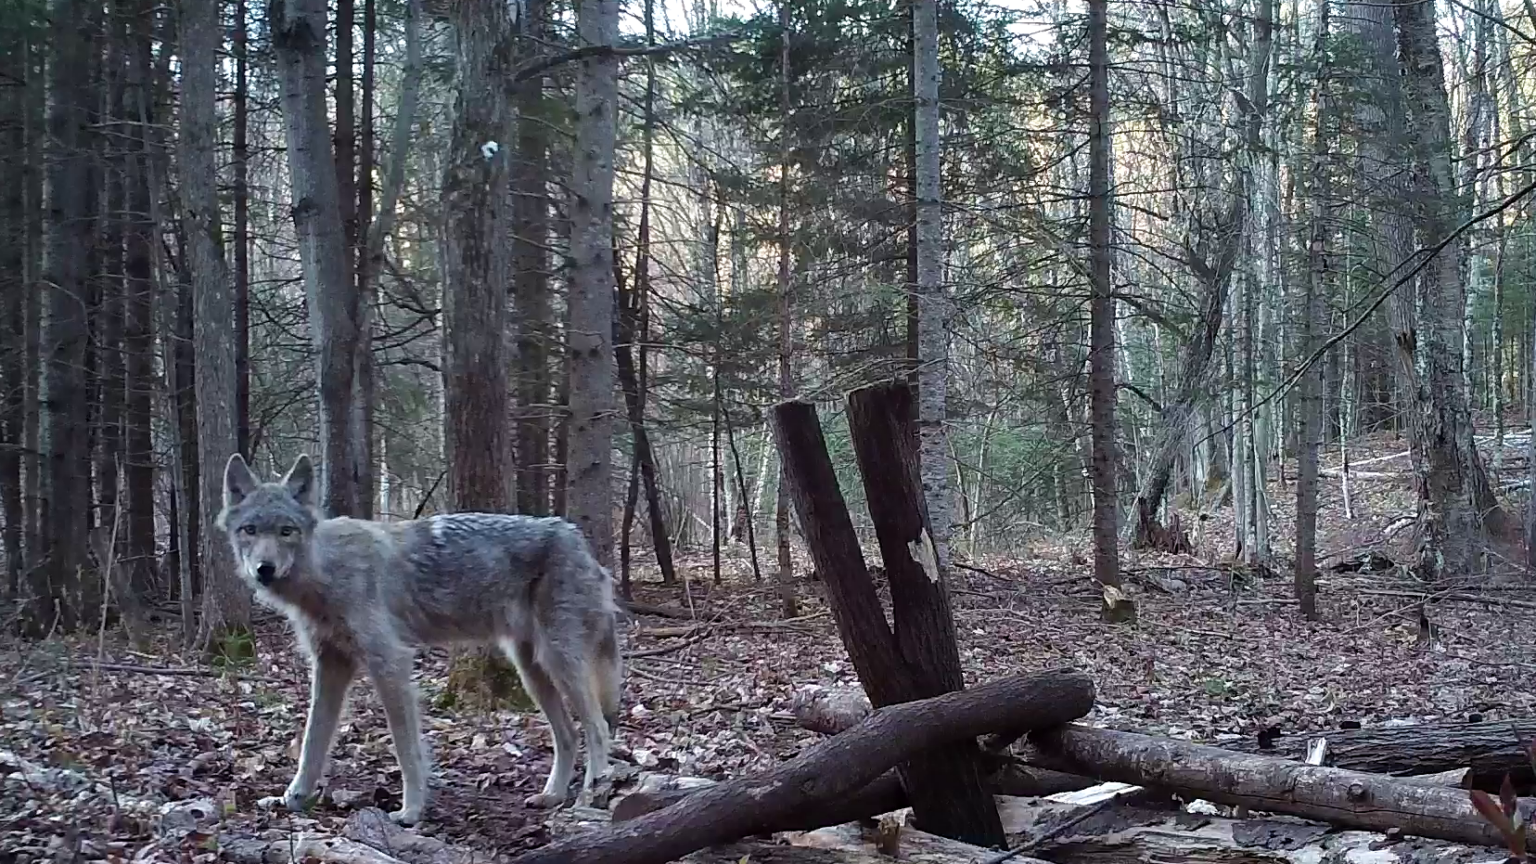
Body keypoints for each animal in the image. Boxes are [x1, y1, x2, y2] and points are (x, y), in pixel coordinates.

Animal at [216, 451, 623, 817]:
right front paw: (292, 799)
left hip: (559, 661)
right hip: (531, 669)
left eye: (286, 532)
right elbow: (312, 743)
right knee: (569, 735)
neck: (325, 572)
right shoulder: (330, 665)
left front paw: (410, 811)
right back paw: (552, 796)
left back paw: (589, 795)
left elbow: (406, 748)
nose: (264, 569)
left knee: (598, 728)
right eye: (249, 531)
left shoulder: (390, 662)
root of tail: (577, 538)